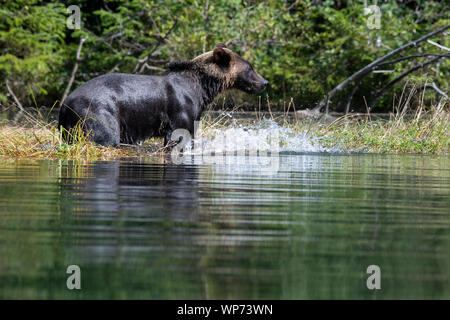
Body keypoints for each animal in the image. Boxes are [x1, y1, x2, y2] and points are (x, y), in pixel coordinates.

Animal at [56, 43, 268, 147]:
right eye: (250, 67)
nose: (265, 82)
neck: (202, 88)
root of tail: (65, 103)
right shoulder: (181, 108)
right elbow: (179, 136)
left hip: (69, 125)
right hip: (98, 111)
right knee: (105, 136)